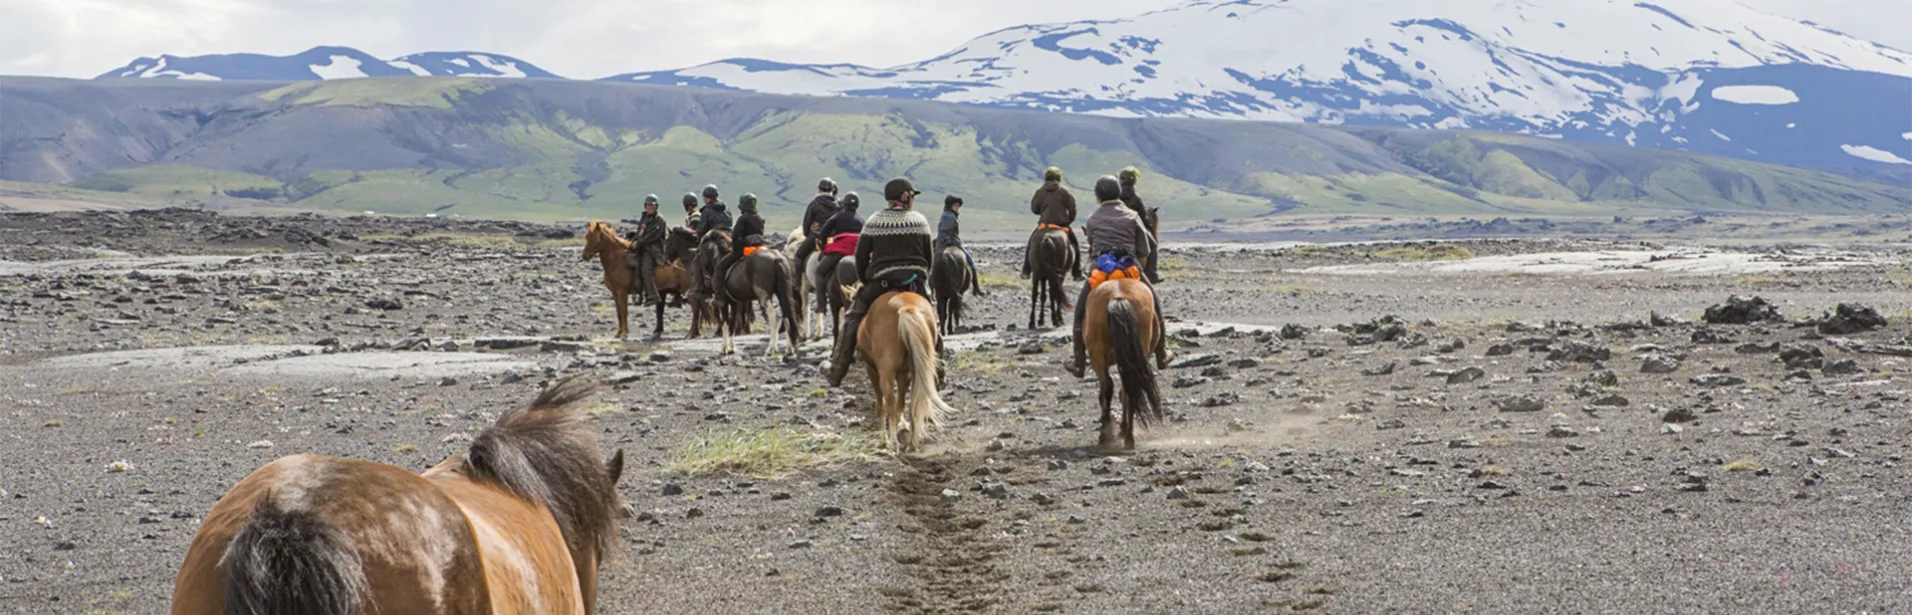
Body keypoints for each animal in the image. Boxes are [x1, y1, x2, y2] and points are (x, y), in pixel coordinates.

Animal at [856, 290, 952, 448]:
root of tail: (906, 306)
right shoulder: (903, 374)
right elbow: (900, 404)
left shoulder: (873, 370)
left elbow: (881, 404)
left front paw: (883, 438)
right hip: (917, 372)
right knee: (913, 404)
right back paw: (912, 441)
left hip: (886, 373)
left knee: (889, 402)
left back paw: (893, 442)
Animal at [1093, 276, 1162, 446]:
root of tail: (1118, 298)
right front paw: (1123, 428)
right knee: (1130, 388)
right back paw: (1129, 437)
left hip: (1097, 353)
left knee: (1108, 385)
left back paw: (1105, 435)